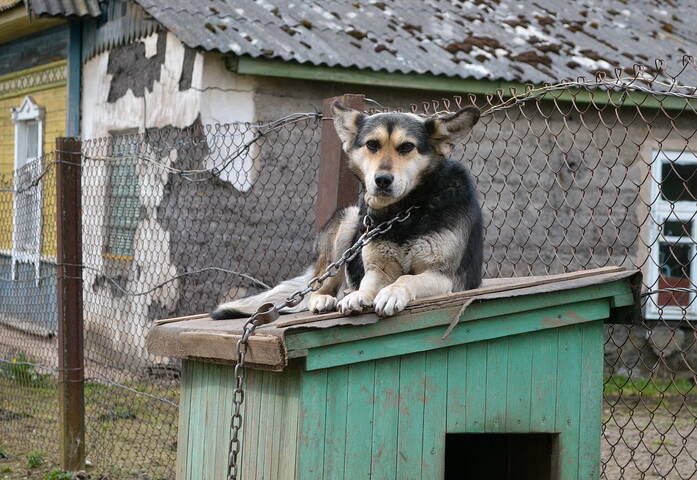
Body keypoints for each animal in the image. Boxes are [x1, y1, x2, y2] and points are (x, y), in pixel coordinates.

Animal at [212, 101, 482, 318]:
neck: (403, 211)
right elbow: (368, 285)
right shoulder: (377, 269)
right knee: (319, 287)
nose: (382, 180)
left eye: (406, 147)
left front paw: (391, 293)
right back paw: (326, 299)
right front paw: (358, 295)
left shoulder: (444, 276)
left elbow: (407, 278)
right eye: (372, 144)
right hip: (349, 223)